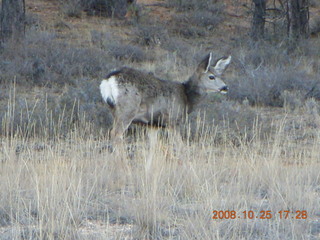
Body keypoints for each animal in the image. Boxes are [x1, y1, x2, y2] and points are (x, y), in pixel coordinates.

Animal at [99, 53, 230, 141]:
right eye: (211, 77)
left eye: (220, 75)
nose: (225, 87)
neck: (186, 97)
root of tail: (109, 79)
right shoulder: (172, 120)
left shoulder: (153, 125)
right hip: (127, 109)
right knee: (116, 133)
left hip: (115, 110)